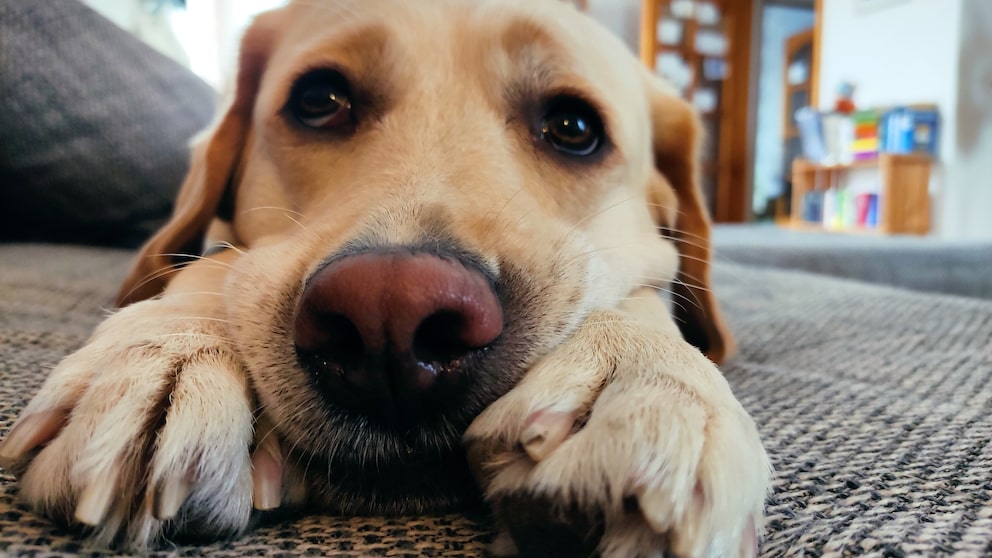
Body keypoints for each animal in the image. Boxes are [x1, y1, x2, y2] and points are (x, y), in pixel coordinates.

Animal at [0, 2, 772, 556]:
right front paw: (168, 353)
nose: (391, 324)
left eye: (574, 126)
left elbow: (641, 293)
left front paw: (645, 381)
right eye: (320, 99)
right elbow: (222, 261)